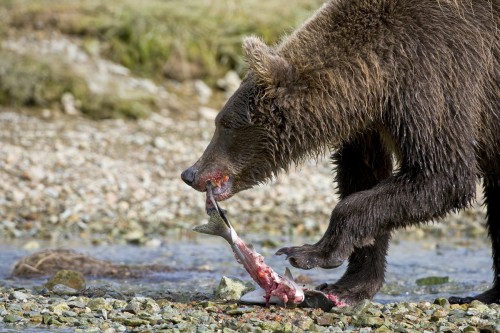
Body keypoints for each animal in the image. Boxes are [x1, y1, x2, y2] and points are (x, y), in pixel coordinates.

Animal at [183, 0, 500, 304]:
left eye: (223, 124)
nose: (190, 173)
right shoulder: (370, 122)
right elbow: (364, 178)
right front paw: (349, 285)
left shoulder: (436, 75)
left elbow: (441, 175)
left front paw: (307, 253)